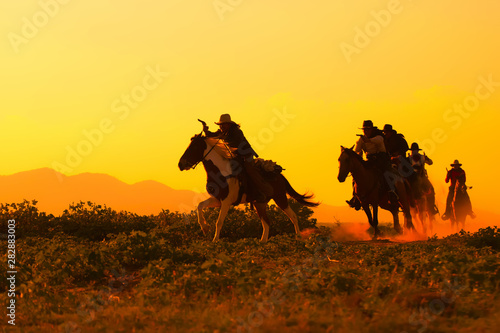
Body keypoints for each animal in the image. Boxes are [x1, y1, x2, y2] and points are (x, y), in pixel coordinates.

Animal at [178, 132, 318, 241]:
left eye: (194, 146)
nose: (180, 164)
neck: (222, 172)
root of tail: (279, 175)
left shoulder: (226, 201)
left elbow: (219, 222)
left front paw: (215, 240)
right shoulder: (218, 200)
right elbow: (200, 205)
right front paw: (205, 228)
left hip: (280, 198)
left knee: (293, 217)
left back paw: (298, 238)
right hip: (259, 204)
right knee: (266, 223)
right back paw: (262, 242)